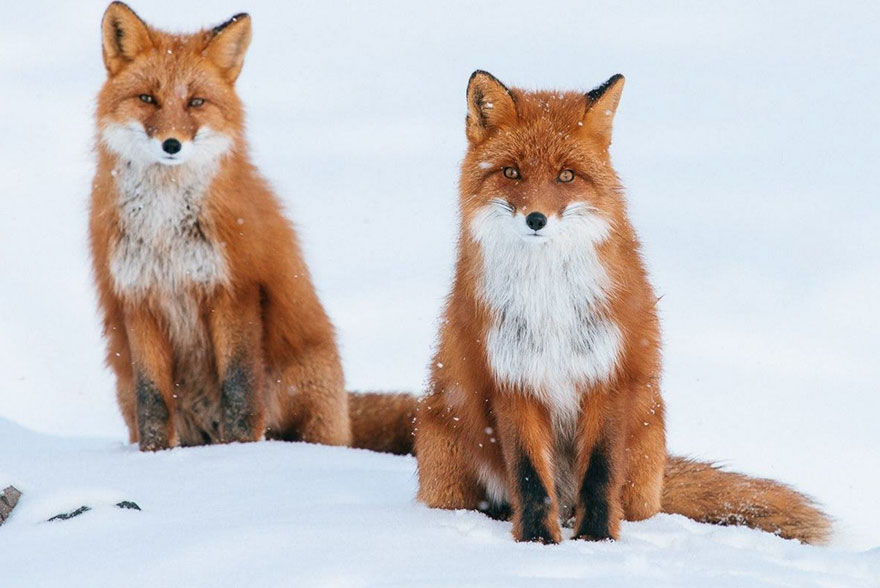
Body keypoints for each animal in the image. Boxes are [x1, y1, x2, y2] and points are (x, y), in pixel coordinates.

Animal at [89, 2, 351, 450]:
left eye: (196, 102)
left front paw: (239, 453)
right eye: (147, 99)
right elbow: (152, 397)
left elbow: (240, 389)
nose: (172, 144)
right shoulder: (138, 297)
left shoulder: (233, 289)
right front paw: (155, 455)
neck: (165, 229)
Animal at [387, 71, 832, 544]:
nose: (536, 219)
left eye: (566, 175)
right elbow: (529, 475)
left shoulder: (610, 373)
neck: (549, 302)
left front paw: (596, 540)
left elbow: (600, 473)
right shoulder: (513, 378)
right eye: (511, 172)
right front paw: (538, 541)